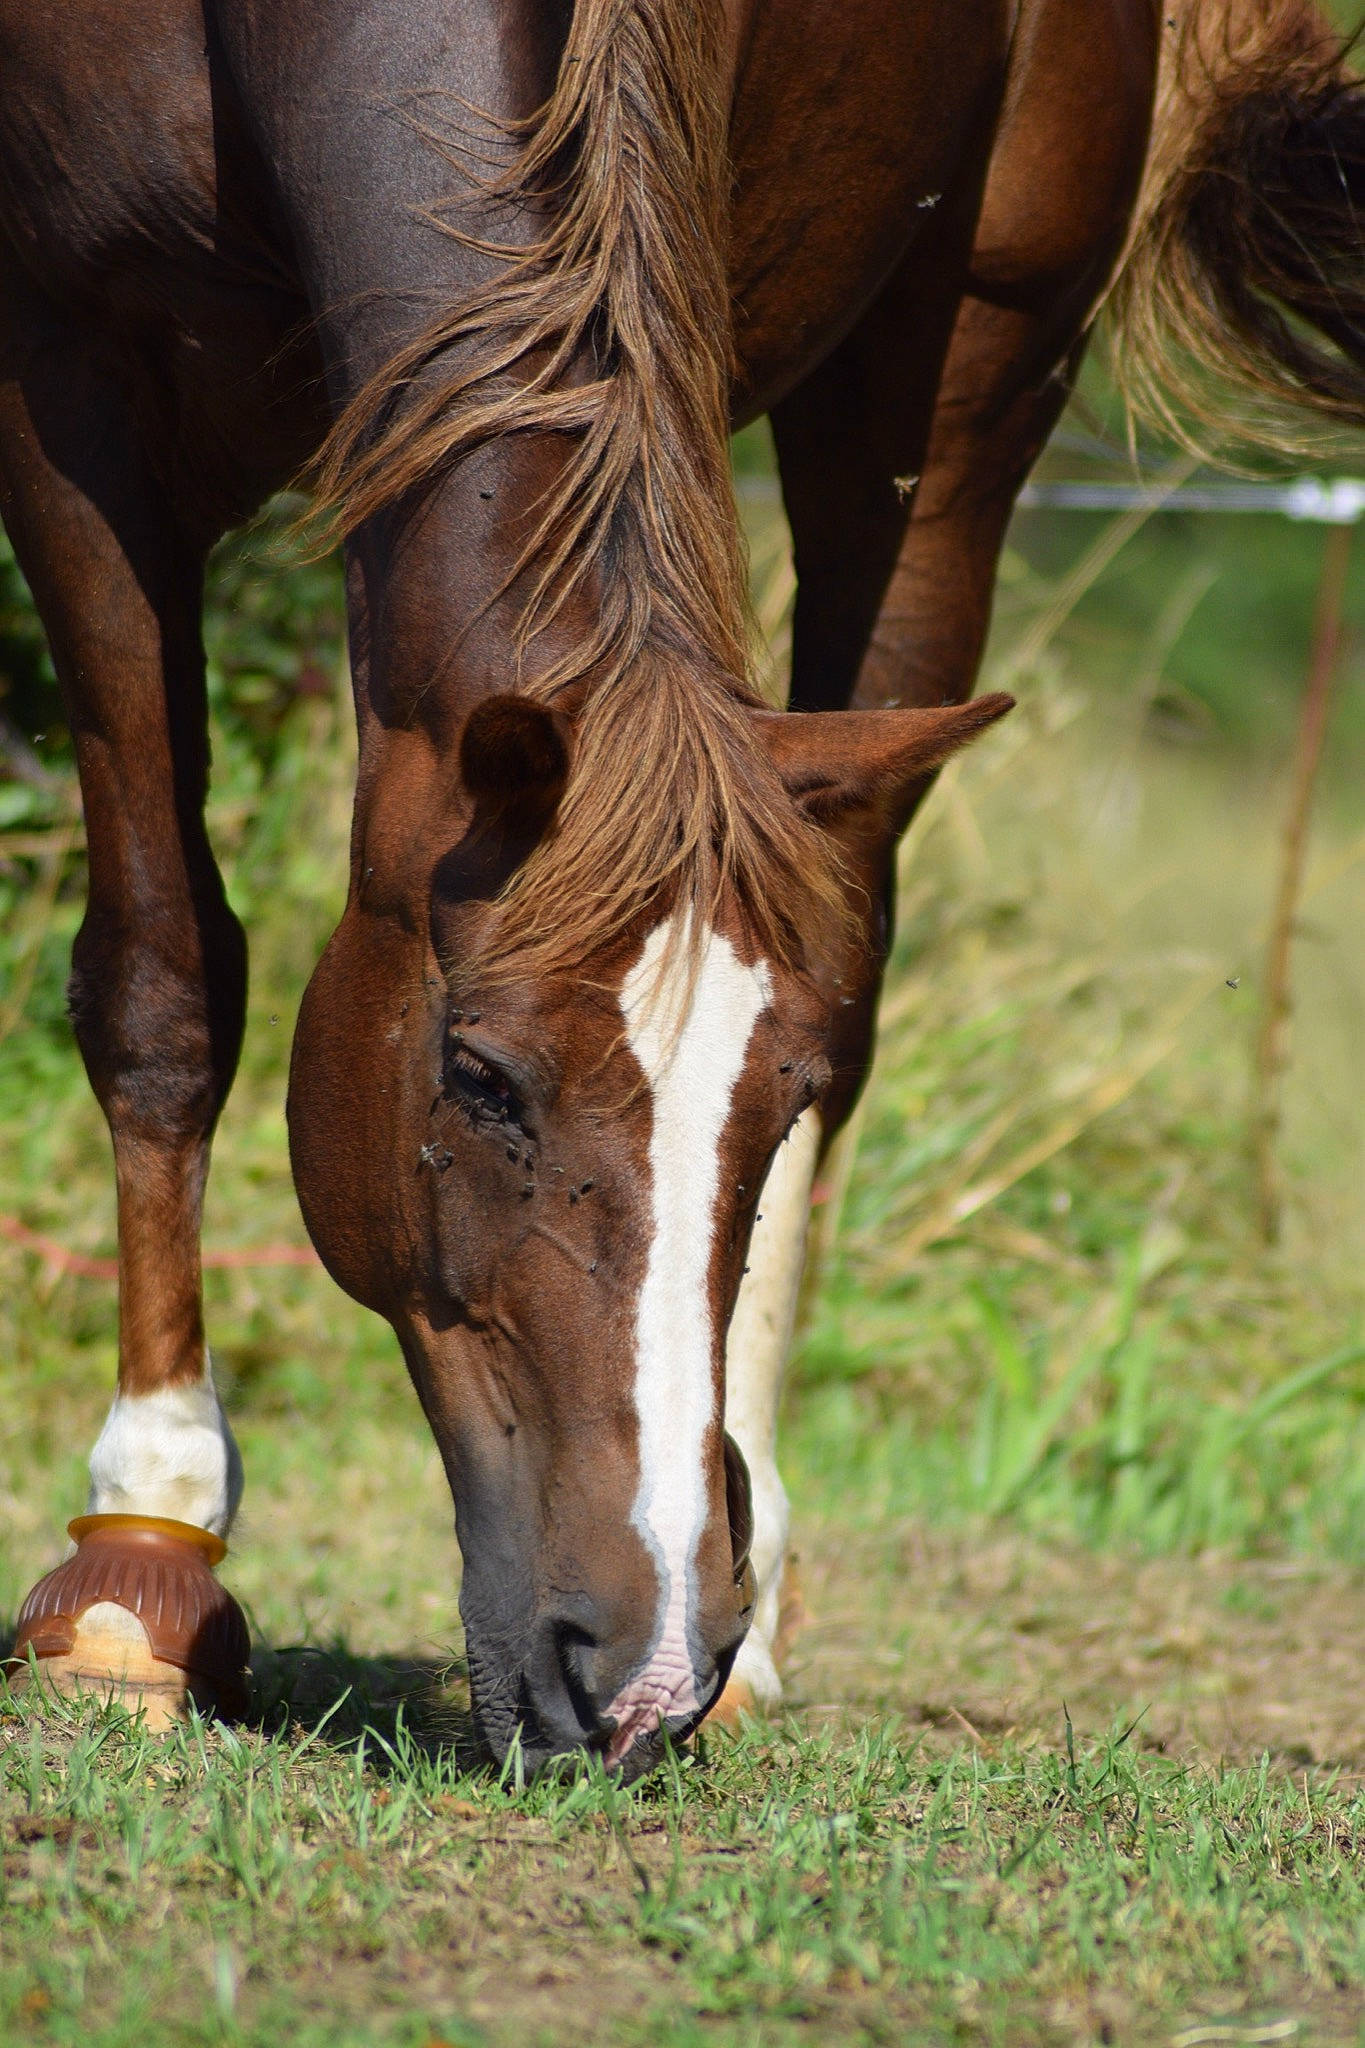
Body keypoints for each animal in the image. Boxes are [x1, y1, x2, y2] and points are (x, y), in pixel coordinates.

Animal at [3, 0, 1364, 1776]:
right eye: (479, 1078)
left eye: (772, 1103)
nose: (642, 1666)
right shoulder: (69, 392)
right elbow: (162, 978)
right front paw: (140, 1563)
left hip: (965, 382)